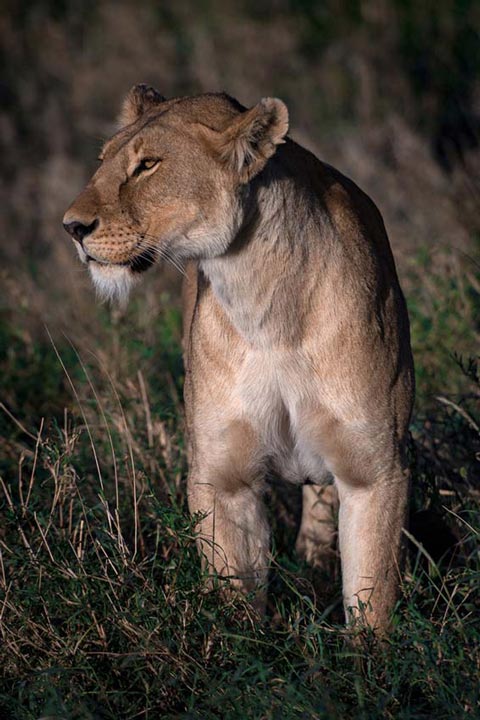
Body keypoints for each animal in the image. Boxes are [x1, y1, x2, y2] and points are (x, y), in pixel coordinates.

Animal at [63, 84, 414, 634]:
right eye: (103, 162)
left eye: (148, 165)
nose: (72, 227)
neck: (265, 307)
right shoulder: (222, 477)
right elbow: (234, 602)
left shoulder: (377, 472)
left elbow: (372, 599)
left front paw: (368, 657)